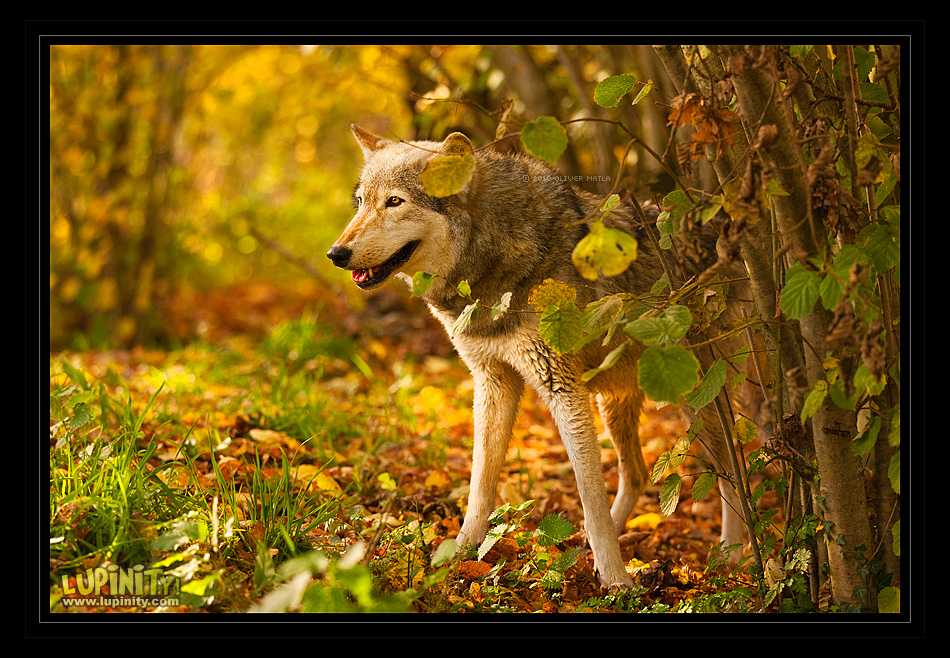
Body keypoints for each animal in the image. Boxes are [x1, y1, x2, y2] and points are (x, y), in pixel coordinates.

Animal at [328, 124, 752, 588]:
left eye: (395, 201)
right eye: (361, 202)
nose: (336, 254)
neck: (494, 256)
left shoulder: (562, 388)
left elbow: (589, 495)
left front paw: (616, 581)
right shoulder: (493, 383)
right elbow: (480, 485)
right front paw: (459, 556)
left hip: (700, 404)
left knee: (733, 473)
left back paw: (730, 559)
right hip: (615, 403)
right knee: (639, 474)